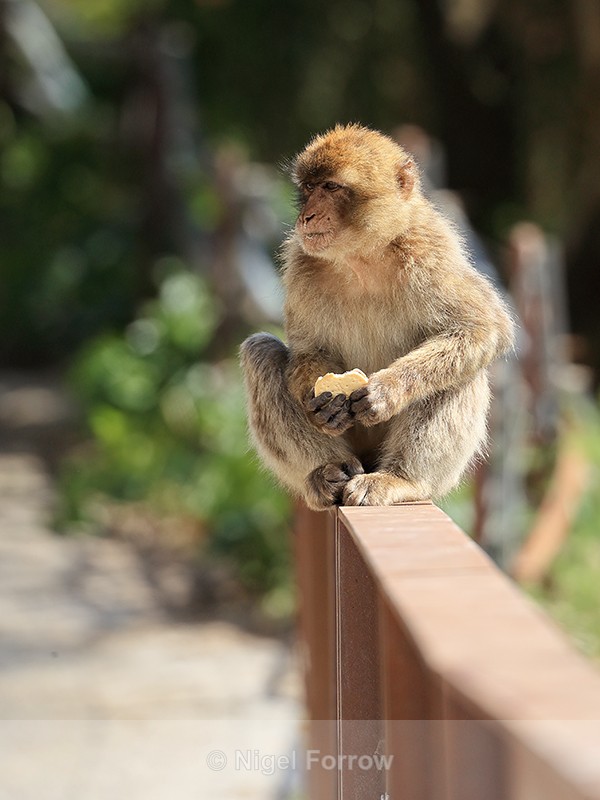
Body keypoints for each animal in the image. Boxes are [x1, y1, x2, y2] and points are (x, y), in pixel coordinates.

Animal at [240, 124, 515, 510]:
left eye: (331, 187)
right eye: (308, 188)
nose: (306, 216)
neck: (362, 257)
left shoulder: (430, 250)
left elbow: (482, 328)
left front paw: (386, 390)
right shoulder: (300, 261)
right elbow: (309, 351)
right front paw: (320, 403)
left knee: (459, 375)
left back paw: (401, 479)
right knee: (260, 352)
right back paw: (327, 473)